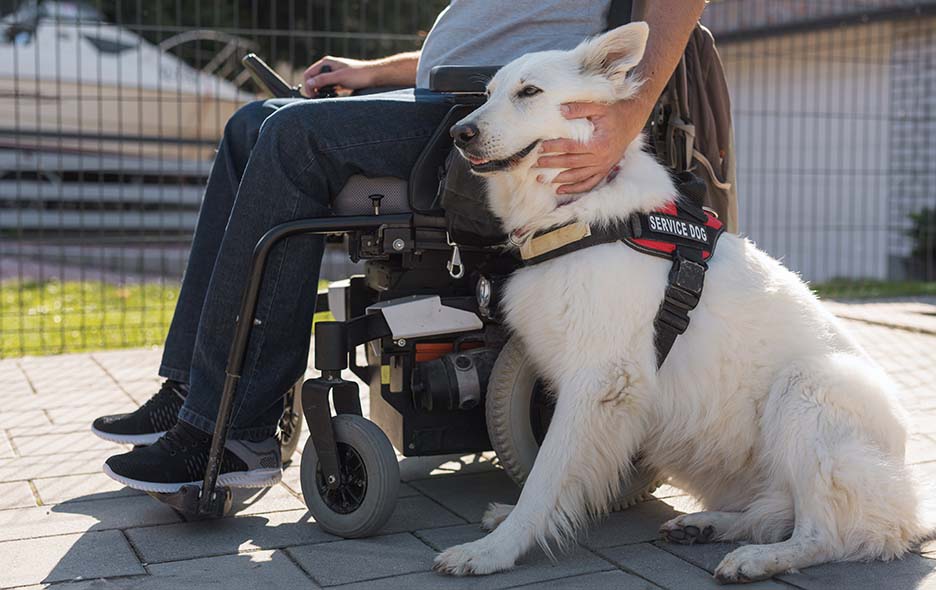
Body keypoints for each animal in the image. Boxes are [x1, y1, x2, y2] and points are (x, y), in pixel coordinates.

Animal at [434, 22, 928, 584]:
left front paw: (495, 549)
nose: (458, 134)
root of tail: (912, 508)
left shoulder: (599, 382)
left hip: (807, 389)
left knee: (831, 532)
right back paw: (708, 525)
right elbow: (566, 474)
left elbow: (546, 475)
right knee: (774, 511)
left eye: (529, 92)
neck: (580, 213)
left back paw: (758, 559)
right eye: (490, 93)